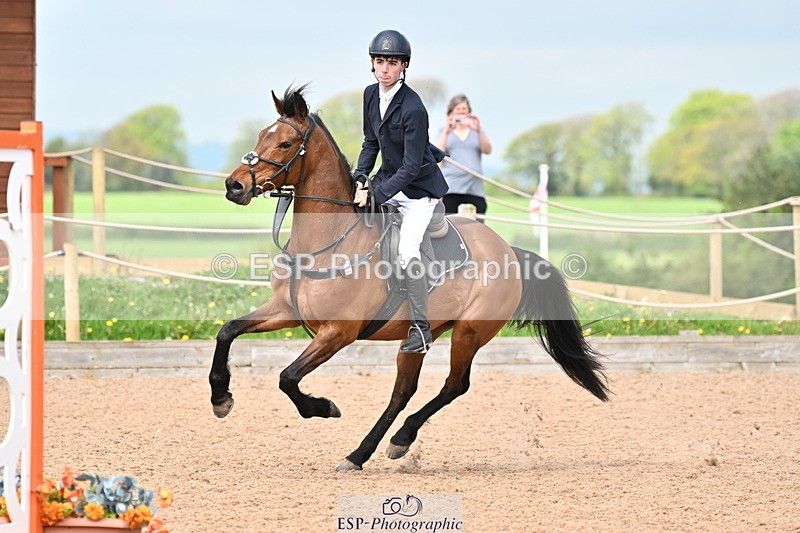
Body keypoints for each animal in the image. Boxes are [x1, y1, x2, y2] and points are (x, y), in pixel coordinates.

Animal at [209, 86, 610, 471]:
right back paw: (363, 453)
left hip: (469, 332)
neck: (329, 241)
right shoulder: (285, 310)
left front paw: (323, 407)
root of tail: (509, 250)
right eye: (261, 135)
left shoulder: (338, 331)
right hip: (418, 337)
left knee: (454, 385)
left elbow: (288, 377)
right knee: (403, 391)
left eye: (285, 143)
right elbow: (227, 331)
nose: (233, 186)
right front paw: (220, 398)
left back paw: (396, 440)